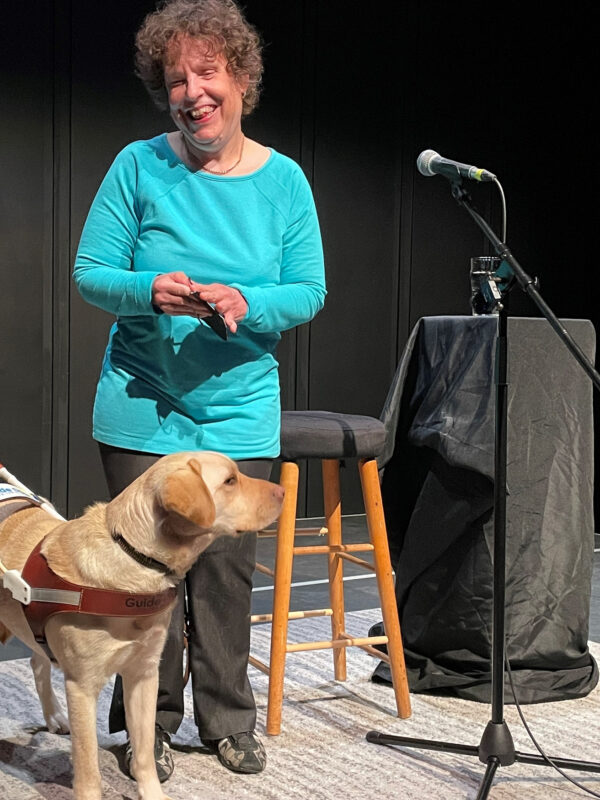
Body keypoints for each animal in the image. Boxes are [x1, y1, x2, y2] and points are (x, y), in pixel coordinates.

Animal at [0, 454, 284, 800]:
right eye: (230, 481)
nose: (283, 491)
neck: (134, 559)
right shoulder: (82, 686)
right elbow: (88, 766)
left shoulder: (144, 675)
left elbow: (146, 750)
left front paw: (152, 793)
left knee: (37, 661)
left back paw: (53, 715)